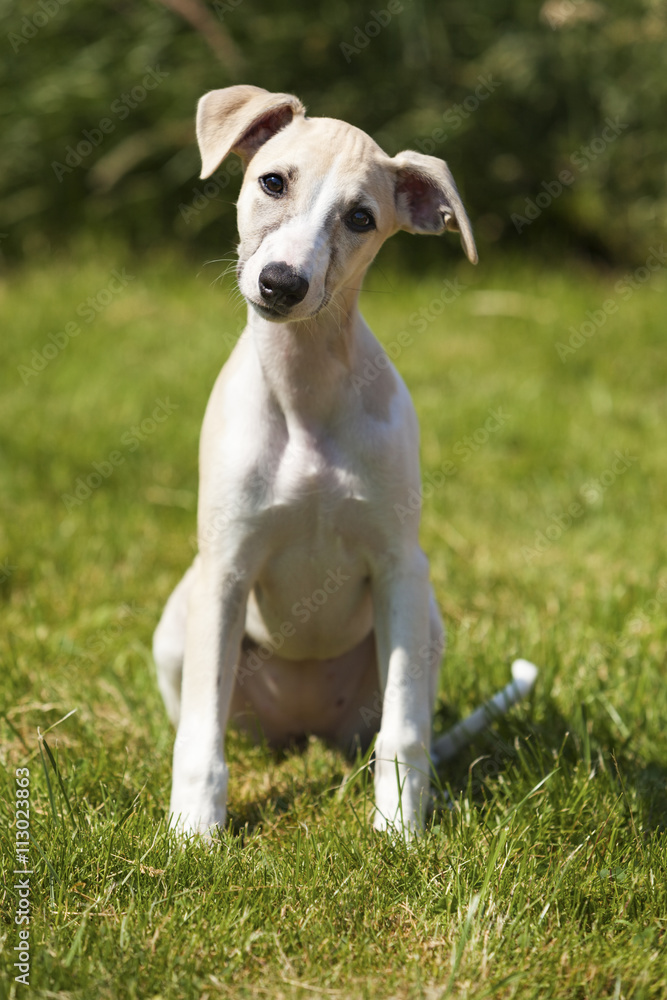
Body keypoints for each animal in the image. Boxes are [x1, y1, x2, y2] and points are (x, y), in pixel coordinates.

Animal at [155, 84, 480, 836]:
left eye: (361, 218)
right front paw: (194, 835)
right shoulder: (225, 570)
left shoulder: (399, 567)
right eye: (273, 182)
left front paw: (400, 830)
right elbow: (200, 734)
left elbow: (404, 730)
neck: (304, 393)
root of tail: (300, 734)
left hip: (426, 625)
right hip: (179, 621)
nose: (281, 283)